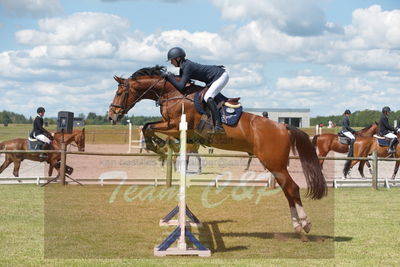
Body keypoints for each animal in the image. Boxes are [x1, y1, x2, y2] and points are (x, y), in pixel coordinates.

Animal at [108, 66, 326, 236]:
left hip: (274, 162)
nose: (112, 116)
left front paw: (157, 146)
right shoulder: (172, 126)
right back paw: (297, 225)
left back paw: (305, 223)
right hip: (273, 164)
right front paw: (157, 146)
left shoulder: (176, 125)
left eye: (119, 93)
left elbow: (149, 127)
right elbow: (147, 126)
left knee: (293, 188)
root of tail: (284, 127)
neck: (172, 93)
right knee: (287, 190)